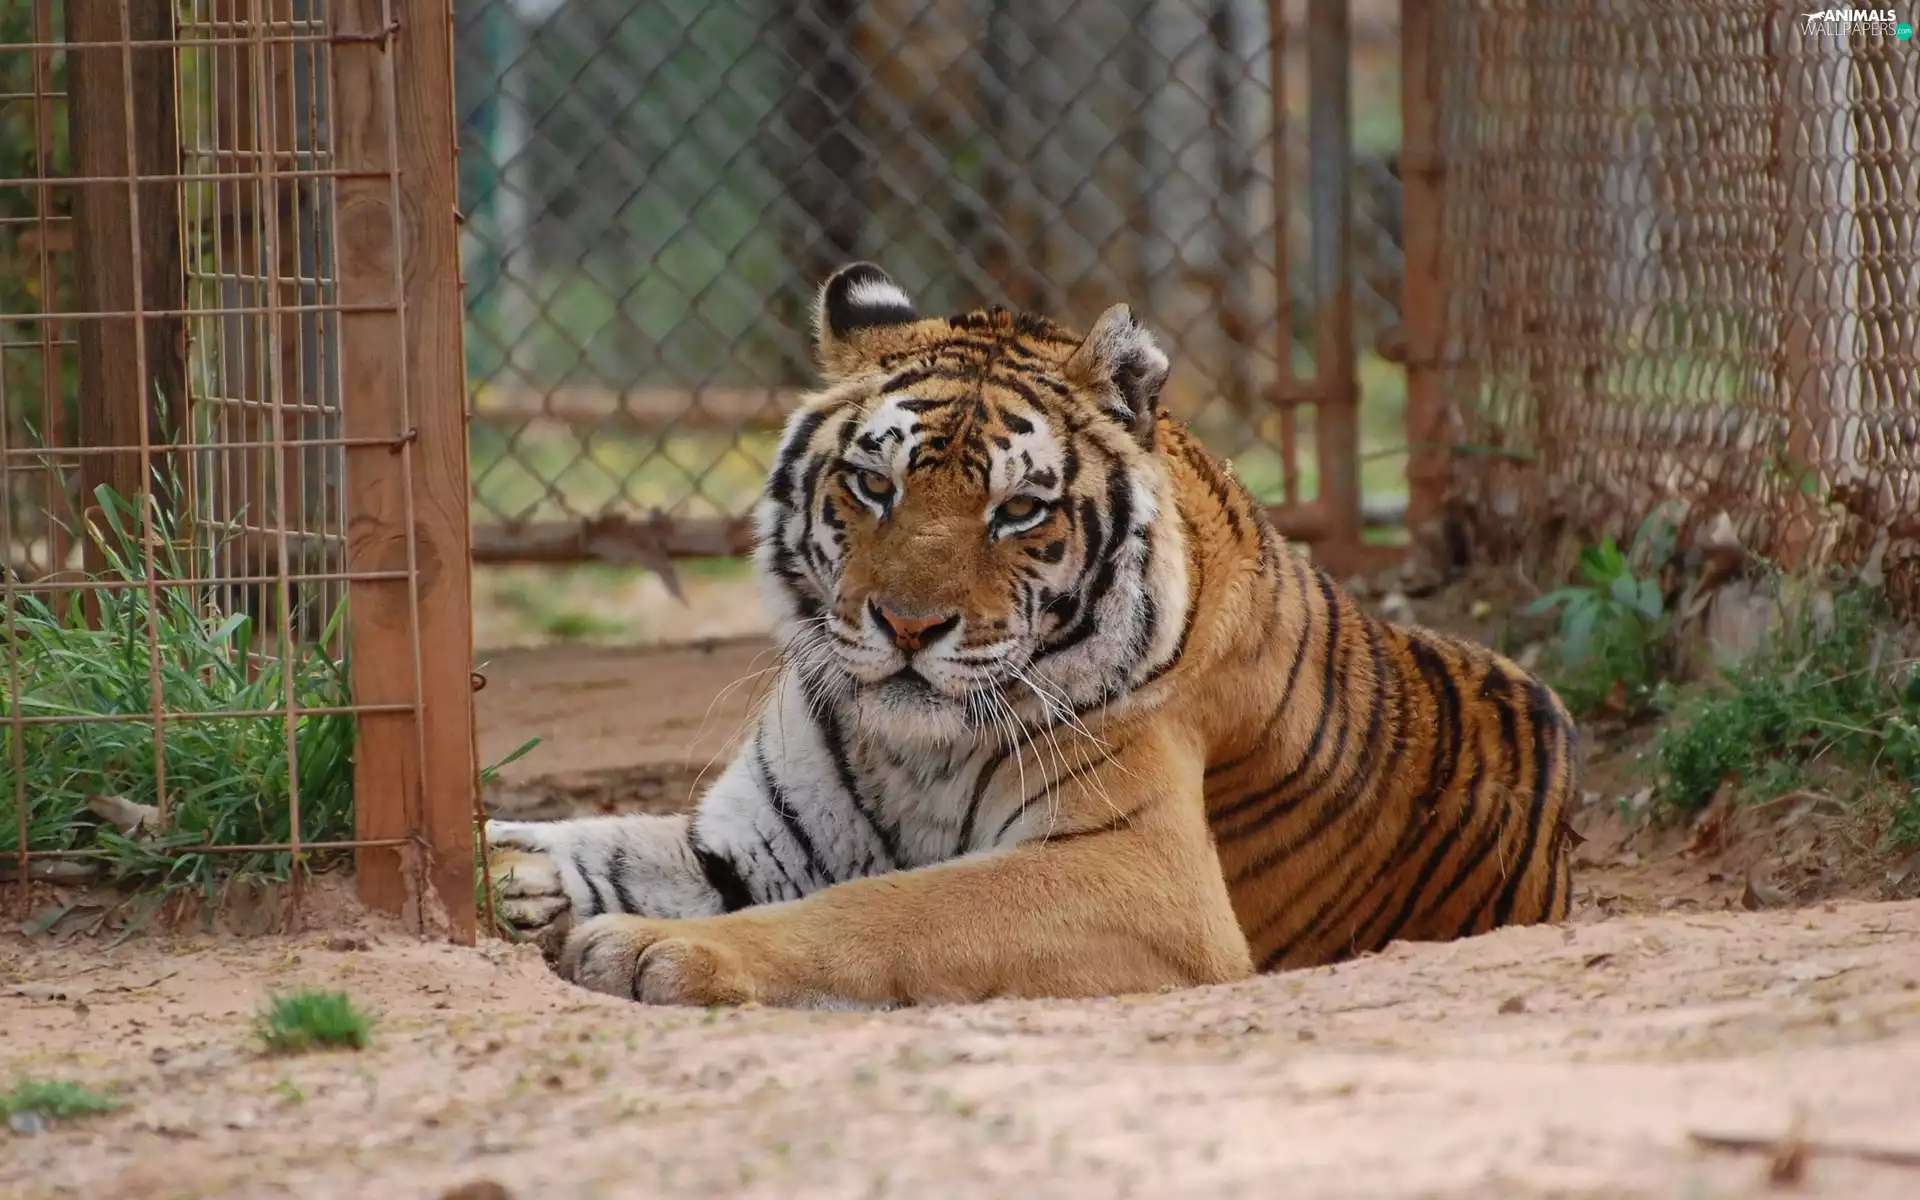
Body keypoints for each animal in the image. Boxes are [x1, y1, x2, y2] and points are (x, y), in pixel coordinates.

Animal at [483, 262, 1580, 1009]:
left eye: (1018, 511)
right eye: (873, 485)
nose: (909, 626)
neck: (909, 751)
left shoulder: (1137, 874)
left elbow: (891, 909)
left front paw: (649, 949)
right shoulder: (751, 842)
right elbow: (608, 842)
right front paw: (510, 868)